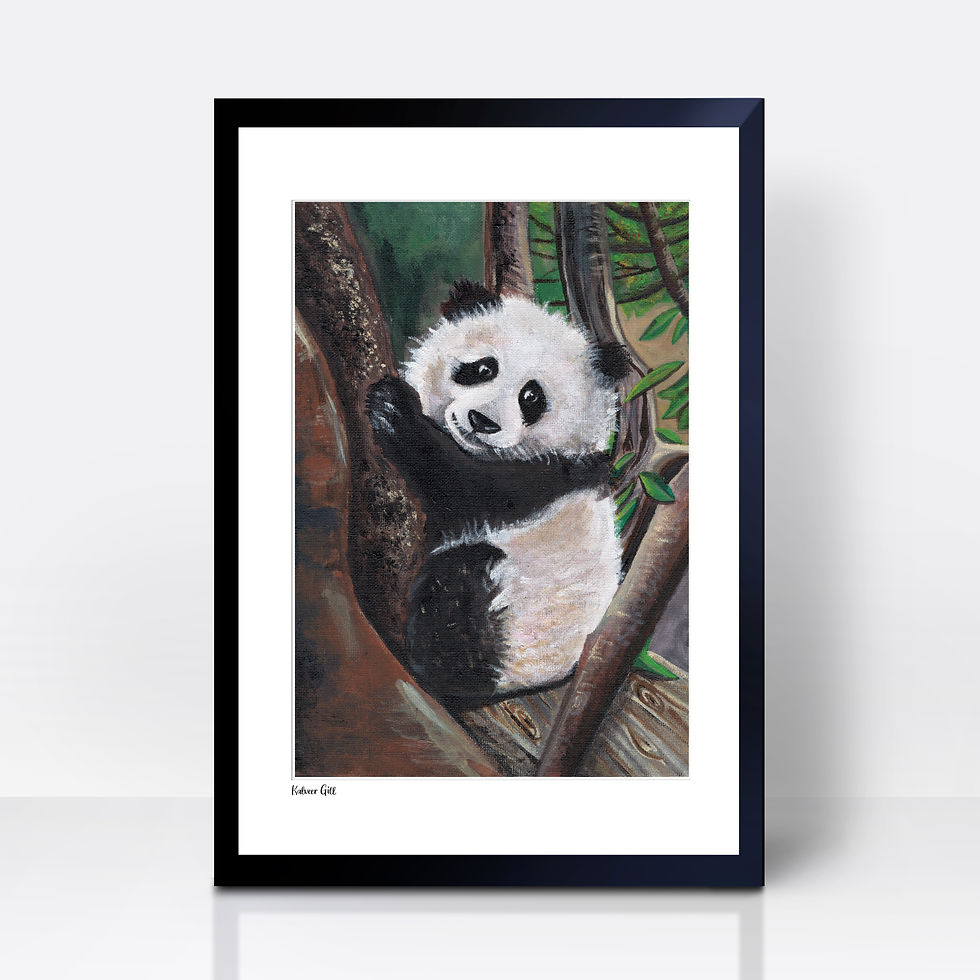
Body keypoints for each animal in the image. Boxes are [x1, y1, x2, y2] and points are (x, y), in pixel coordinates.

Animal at [367, 280, 629, 710]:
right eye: (482, 369)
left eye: (531, 397)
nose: (482, 421)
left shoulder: (547, 477)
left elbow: (463, 488)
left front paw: (392, 406)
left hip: (516, 623)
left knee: (460, 581)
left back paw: (443, 671)